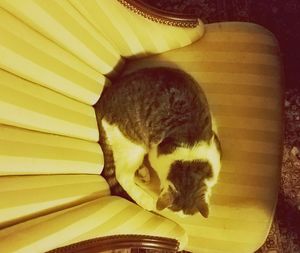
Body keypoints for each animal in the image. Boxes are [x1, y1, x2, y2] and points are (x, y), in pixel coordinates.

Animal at [95, 67, 221, 217]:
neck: (189, 161)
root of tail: (100, 104)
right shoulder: (155, 154)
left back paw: (143, 172)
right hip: (133, 144)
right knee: (122, 175)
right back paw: (144, 199)